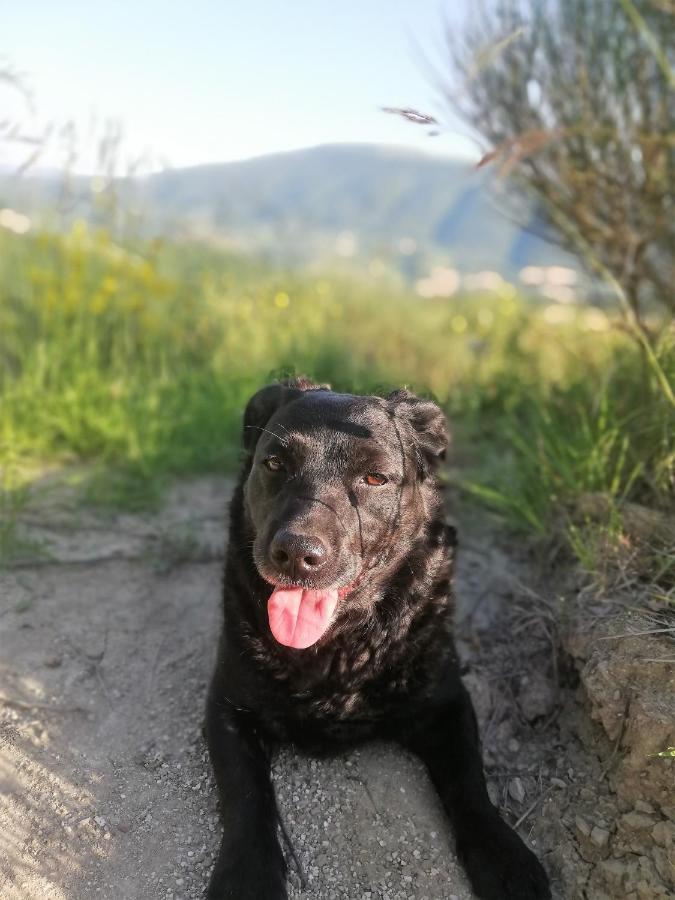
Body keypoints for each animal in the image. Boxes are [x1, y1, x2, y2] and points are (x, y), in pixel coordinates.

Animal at [205, 376, 548, 896]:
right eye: (275, 463)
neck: (337, 649)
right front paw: (246, 876)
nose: (296, 553)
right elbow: (246, 794)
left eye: (374, 479)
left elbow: (471, 782)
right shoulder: (227, 706)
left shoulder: (448, 703)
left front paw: (504, 856)